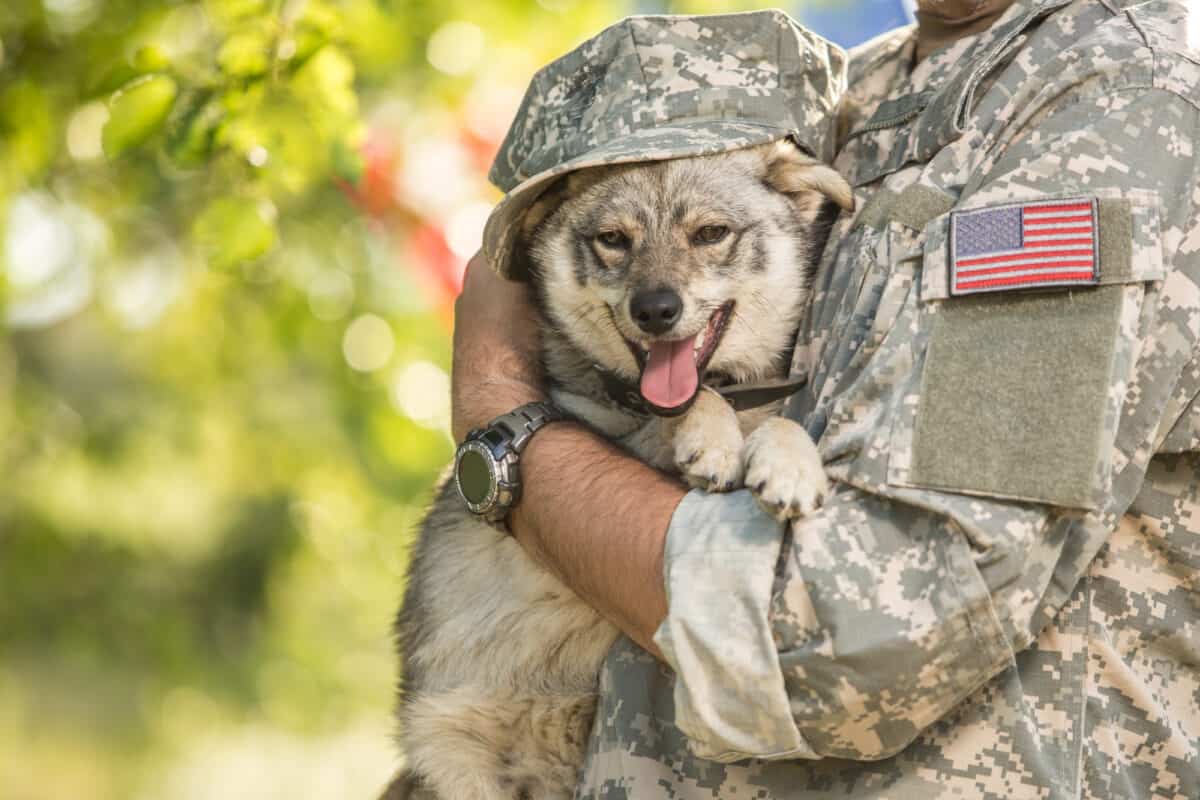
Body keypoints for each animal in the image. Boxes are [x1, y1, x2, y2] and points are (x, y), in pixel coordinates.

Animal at [386, 139, 854, 800]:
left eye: (711, 233)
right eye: (613, 239)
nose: (656, 309)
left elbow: (776, 421)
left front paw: (789, 463)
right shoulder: (604, 425)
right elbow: (701, 408)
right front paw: (713, 439)